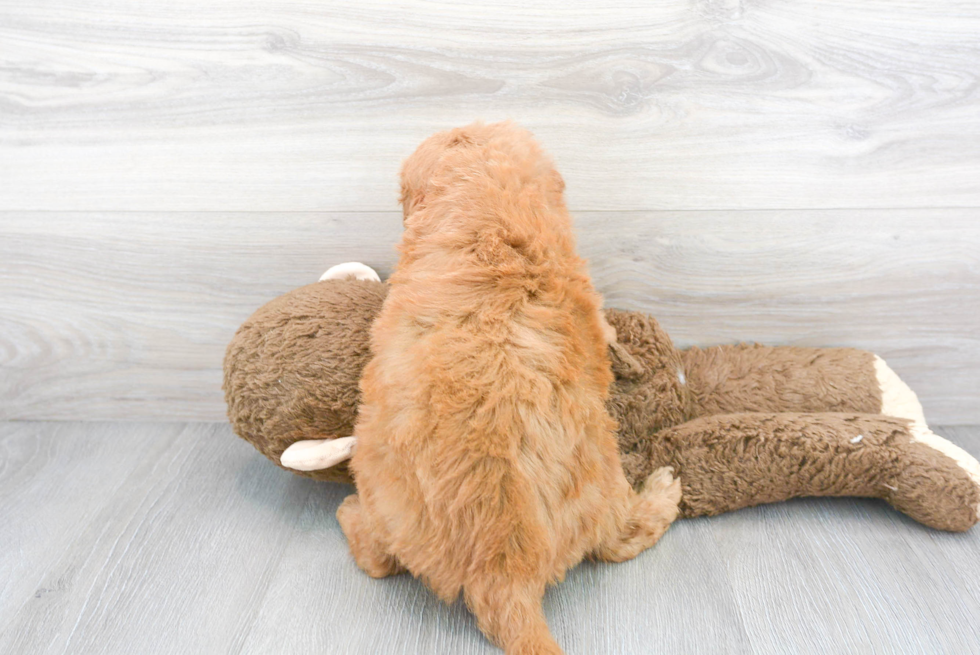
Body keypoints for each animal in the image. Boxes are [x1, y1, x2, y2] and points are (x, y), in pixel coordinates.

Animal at [336, 123, 680, 655]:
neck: (489, 223)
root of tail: (504, 574)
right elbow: (606, 329)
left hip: (382, 491)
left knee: (377, 559)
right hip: (604, 480)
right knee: (621, 538)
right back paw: (665, 490)